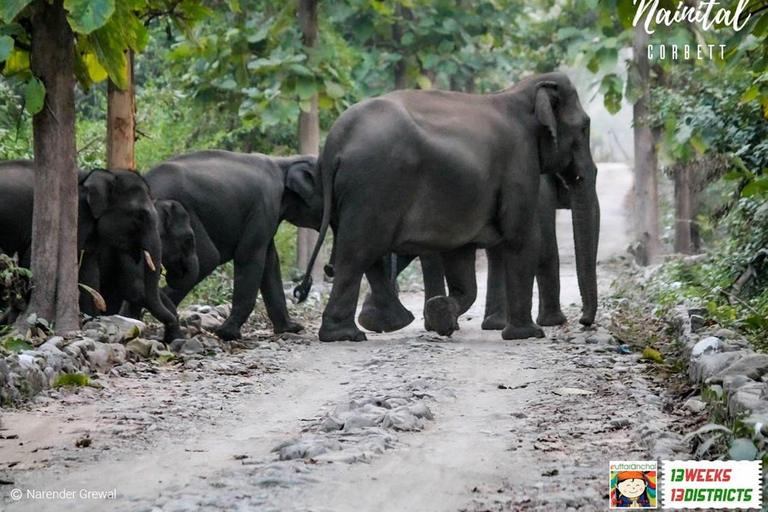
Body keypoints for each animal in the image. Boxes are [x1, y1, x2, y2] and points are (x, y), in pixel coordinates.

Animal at [0, 160, 180, 342]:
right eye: (140, 215)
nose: (172, 321)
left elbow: (88, 269)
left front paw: (89, 323)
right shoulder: (75, 216)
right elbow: (29, 261)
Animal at [146, 149, 322, 340]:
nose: (300, 293)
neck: (285, 163)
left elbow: (271, 262)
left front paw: (291, 328)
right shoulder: (263, 206)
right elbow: (249, 255)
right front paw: (227, 333)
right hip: (185, 211)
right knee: (208, 258)